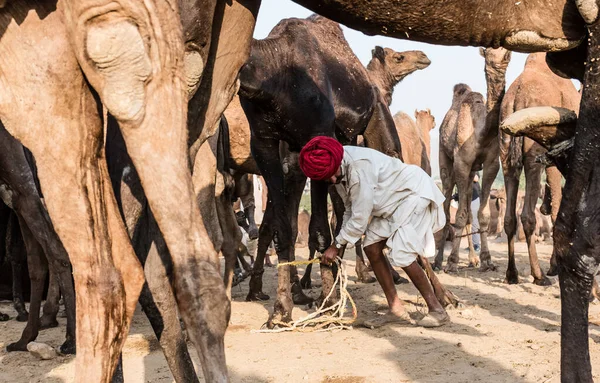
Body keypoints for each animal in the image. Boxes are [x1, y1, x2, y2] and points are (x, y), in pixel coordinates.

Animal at [434, 48, 512, 276]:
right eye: (487, 57)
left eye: (506, 56)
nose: (498, 67)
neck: (481, 132)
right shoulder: (461, 163)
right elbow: (458, 215)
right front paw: (451, 262)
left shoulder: (491, 164)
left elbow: (481, 214)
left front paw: (486, 260)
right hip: (445, 160)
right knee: (446, 206)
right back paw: (438, 261)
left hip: (470, 176)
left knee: (468, 210)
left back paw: (471, 259)